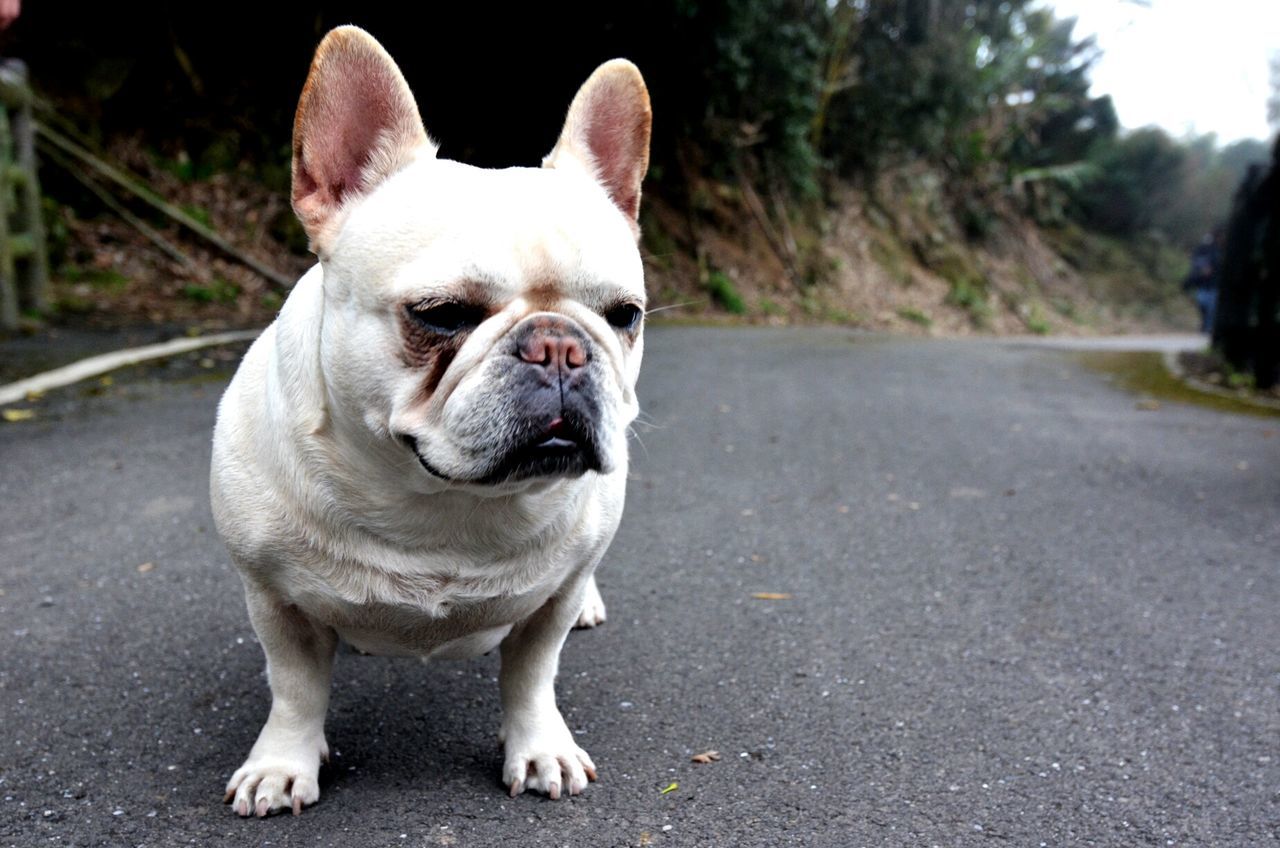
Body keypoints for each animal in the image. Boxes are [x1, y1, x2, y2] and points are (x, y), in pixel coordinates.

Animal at [212, 28, 650, 819]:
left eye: (623, 315)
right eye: (442, 314)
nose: (561, 347)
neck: (437, 502)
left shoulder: (550, 604)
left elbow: (532, 675)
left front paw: (539, 748)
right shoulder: (275, 600)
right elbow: (294, 688)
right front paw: (282, 763)